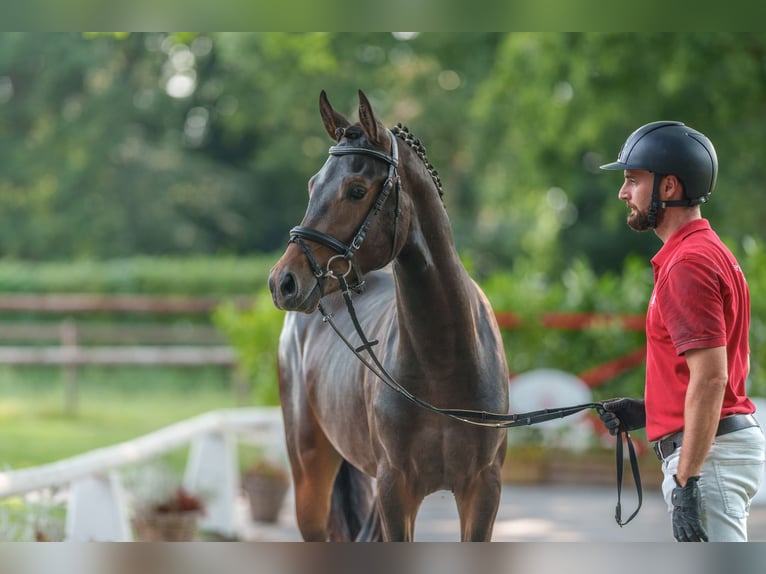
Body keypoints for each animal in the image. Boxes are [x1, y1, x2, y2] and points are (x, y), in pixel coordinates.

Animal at [268, 90, 512, 544]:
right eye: (312, 185)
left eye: (356, 190)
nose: (283, 282)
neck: (445, 362)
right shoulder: (395, 489)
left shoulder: (483, 489)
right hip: (309, 475)